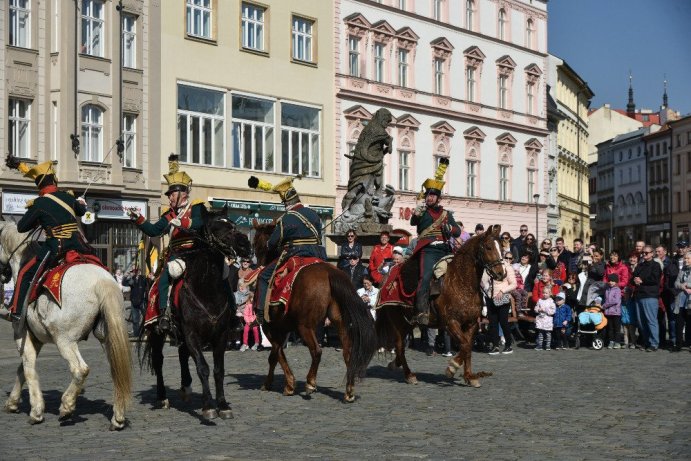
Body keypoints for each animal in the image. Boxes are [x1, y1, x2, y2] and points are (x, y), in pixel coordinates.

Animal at [0, 221, 132, 430]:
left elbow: (28, 368)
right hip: (107, 338)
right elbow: (22, 369)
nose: (2, 275)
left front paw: (36, 411)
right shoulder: (36, 338)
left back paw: (67, 406)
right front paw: (13, 402)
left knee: (80, 369)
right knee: (117, 373)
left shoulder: (21, 334)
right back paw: (117, 418)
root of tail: (102, 281)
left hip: (65, 340)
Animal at [141, 207, 251, 418]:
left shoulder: (220, 336)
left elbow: (218, 370)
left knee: (182, 355)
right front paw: (208, 406)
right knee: (159, 361)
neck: (207, 290)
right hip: (157, 332)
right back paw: (162, 397)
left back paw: (185, 388)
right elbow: (203, 367)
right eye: (215, 227)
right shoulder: (192, 334)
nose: (245, 244)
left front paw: (223, 405)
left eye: (233, 224)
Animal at [251, 225, 376, 400]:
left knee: (316, 351)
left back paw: (310, 383)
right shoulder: (283, 329)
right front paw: (286, 383)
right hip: (340, 323)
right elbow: (276, 354)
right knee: (348, 353)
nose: (258, 263)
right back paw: (349, 391)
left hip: (305, 326)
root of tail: (329, 272)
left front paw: (284, 385)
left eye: (256, 242)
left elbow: (275, 355)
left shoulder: (272, 328)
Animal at [376, 223, 506, 384]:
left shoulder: (471, 323)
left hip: (408, 322)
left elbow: (468, 347)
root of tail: (387, 279)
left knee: (399, 346)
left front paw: (469, 376)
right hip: (398, 321)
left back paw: (396, 364)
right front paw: (453, 367)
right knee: (399, 345)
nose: (501, 273)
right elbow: (465, 344)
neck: (461, 283)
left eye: (501, 247)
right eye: (488, 247)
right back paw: (409, 375)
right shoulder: (451, 322)